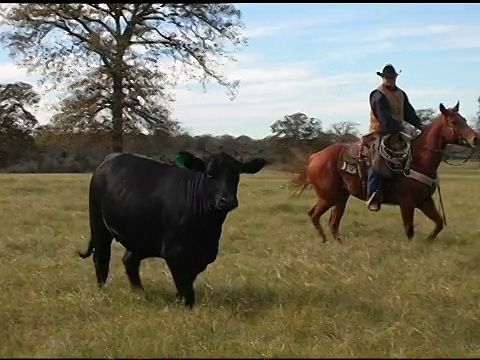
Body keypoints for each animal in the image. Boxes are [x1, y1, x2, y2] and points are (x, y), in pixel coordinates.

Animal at [78, 150, 266, 306]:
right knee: (101, 258)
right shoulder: (174, 253)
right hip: (98, 224)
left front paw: (178, 300)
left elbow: (187, 282)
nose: (226, 200)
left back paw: (139, 293)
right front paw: (183, 305)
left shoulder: (202, 256)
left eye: (236, 175)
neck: (207, 228)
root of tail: (111, 158)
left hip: (141, 237)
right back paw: (103, 290)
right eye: (210, 174)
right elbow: (186, 288)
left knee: (129, 259)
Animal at [286, 102, 478, 242]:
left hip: (339, 199)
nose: (475, 138)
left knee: (331, 221)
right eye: (454, 122)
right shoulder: (407, 203)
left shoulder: (424, 201)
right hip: (329, 197)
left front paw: (428, 242)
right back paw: (327, 241)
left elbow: (438, 223)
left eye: (464, 119)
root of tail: (314, 157)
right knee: (315, 215)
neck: (417, 159)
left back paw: (335, 243)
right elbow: (409, 230)